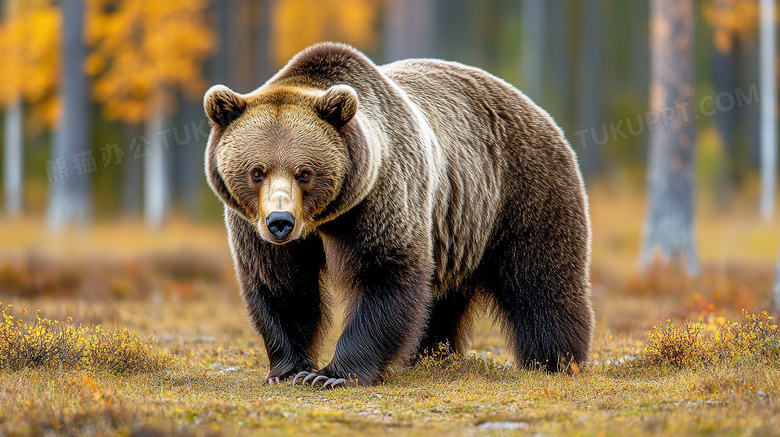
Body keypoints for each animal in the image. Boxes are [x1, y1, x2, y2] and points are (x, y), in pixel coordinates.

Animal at [204, 42, 596, 386]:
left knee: (542, 281)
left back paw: (555, 360)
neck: (325, 219)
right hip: (458, 231)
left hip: (523, 192)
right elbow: (281, 284)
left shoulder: (382, 194)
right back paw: (430, 355)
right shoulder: (252, 225)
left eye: (305, 172)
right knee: (441, 302)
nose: (280, 222)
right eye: (257, 171)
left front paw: (330, 375)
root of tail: (538, 110)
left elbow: (384, 274)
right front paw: (287, 370)